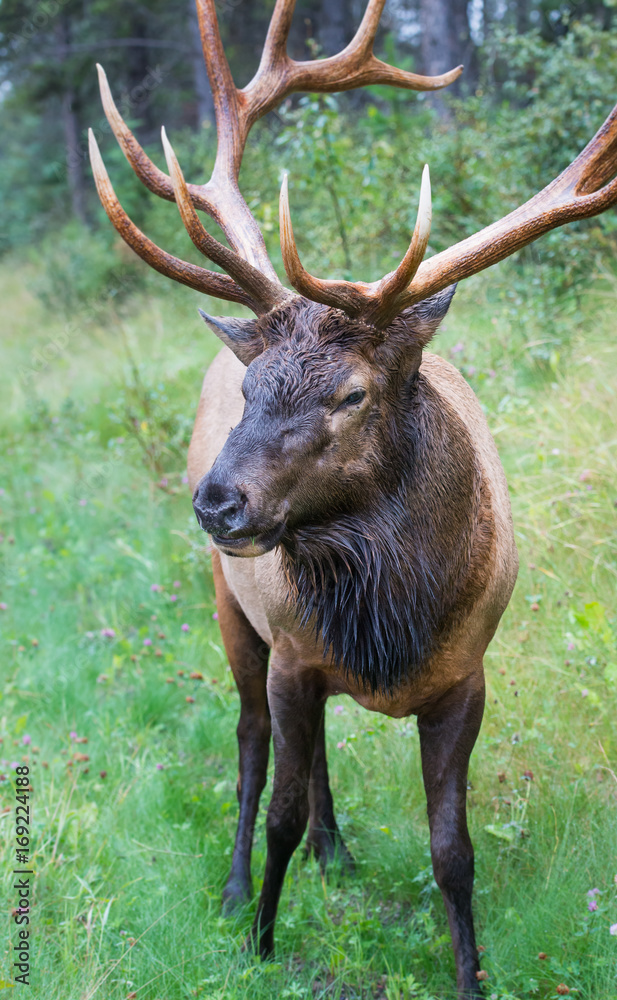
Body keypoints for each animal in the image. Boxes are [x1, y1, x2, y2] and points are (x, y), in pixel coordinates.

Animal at [89, 3, 616, 996]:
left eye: (352, 394)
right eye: (252, 389)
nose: (216, 503)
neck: (394, 621)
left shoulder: (466, 677)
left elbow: (452, 851)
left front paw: (470, 974)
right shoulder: (292, 649)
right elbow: (280, 807)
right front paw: (259, 942)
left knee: (316, 747)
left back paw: (335, 851)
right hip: (232, 606)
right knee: (253, 744)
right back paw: (236, 885)